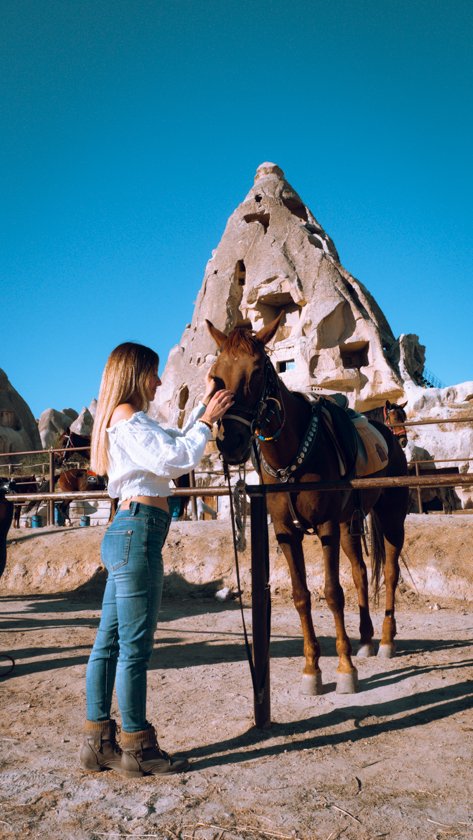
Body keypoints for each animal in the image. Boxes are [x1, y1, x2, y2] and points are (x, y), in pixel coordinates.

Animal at [206, 314, 409, 695]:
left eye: (258, 370)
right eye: (216, 374)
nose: (231, 442)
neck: (292, 454)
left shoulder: (327, 525)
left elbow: (332, 593)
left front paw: (344, 669)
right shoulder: (287, 532)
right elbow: (301, 595)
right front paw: (312, 669)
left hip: (390, 516)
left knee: (389, 573)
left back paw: (387, 640)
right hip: (349, 524)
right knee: (361, 572)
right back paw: (366, 638)